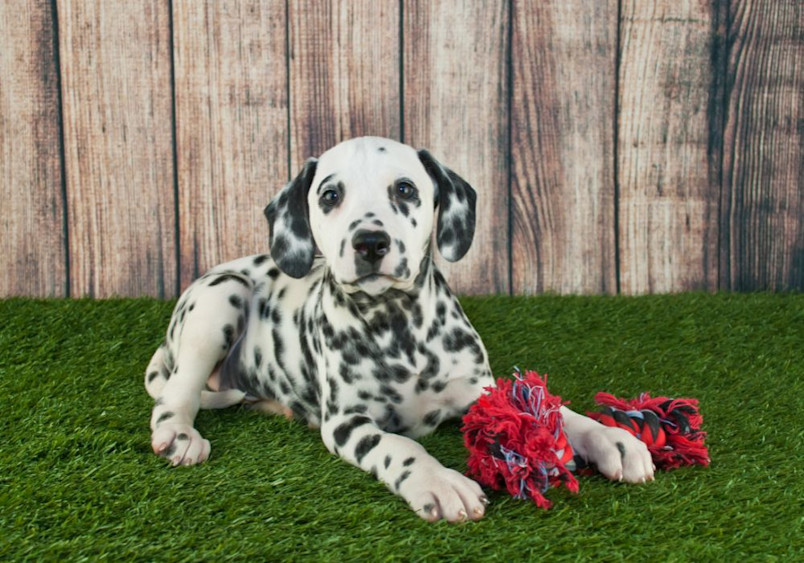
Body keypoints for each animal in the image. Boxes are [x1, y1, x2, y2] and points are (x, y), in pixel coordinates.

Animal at [144, 137, 652, 524]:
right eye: (330, 195)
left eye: (405, 189)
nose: (370, 242)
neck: (399, 329)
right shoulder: (347, 423)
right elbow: (397, 444)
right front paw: (440, 481)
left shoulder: (480, 391)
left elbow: (548, 409)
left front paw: (610, 438)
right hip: (219, 300)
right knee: (175, 394)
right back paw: (180, 435)